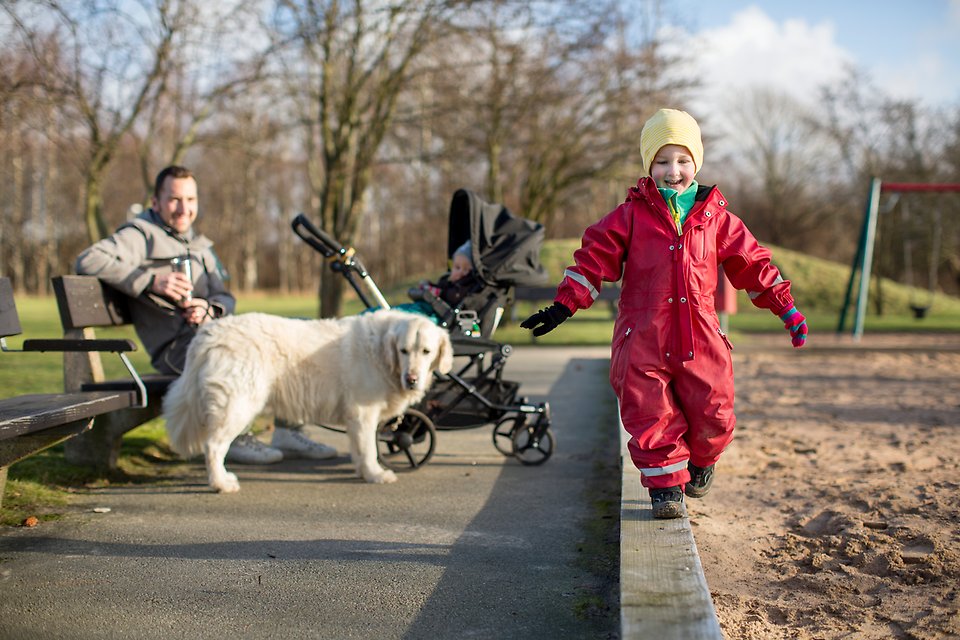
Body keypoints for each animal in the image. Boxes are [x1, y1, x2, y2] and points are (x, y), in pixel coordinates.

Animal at [162, 308, 454, 492]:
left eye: (426, 351)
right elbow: (369, 448)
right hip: (238, 405)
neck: (381, 352)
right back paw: (221, 483)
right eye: (404, 351)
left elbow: (358, 448)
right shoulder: (363, 413)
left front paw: (362, 471)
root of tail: (209, 332)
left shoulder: (355, 418)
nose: (411, 379)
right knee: (213, 446)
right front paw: (376, 474)